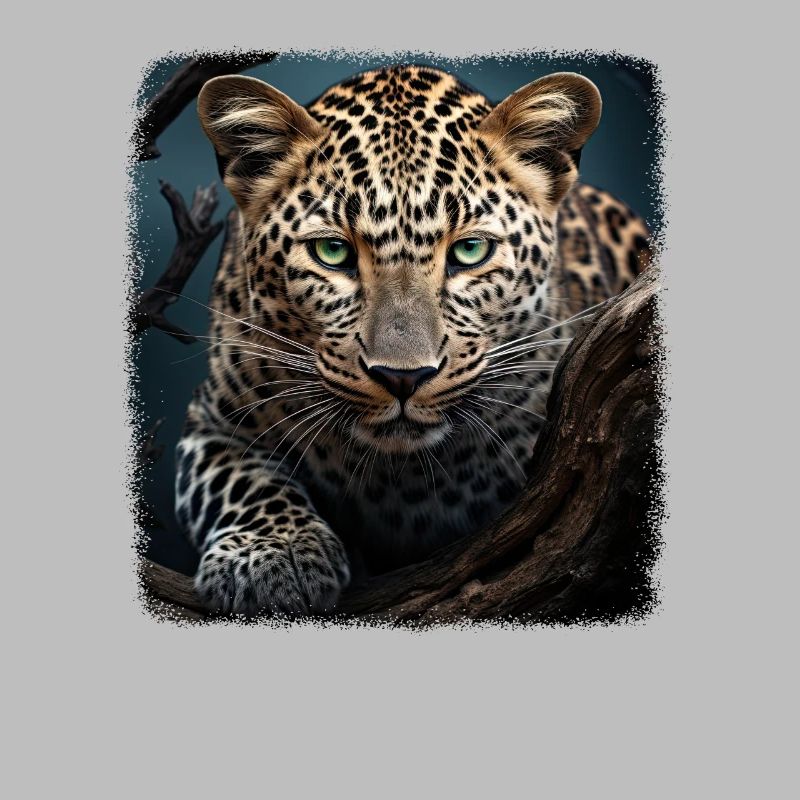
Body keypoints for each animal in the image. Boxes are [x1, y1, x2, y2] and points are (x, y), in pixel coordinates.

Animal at [174, 64, 651, 615]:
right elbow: (242, 481)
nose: (403, 378)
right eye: (332, 251)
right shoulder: (211, 422)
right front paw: (272, 554)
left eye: (470, 250)